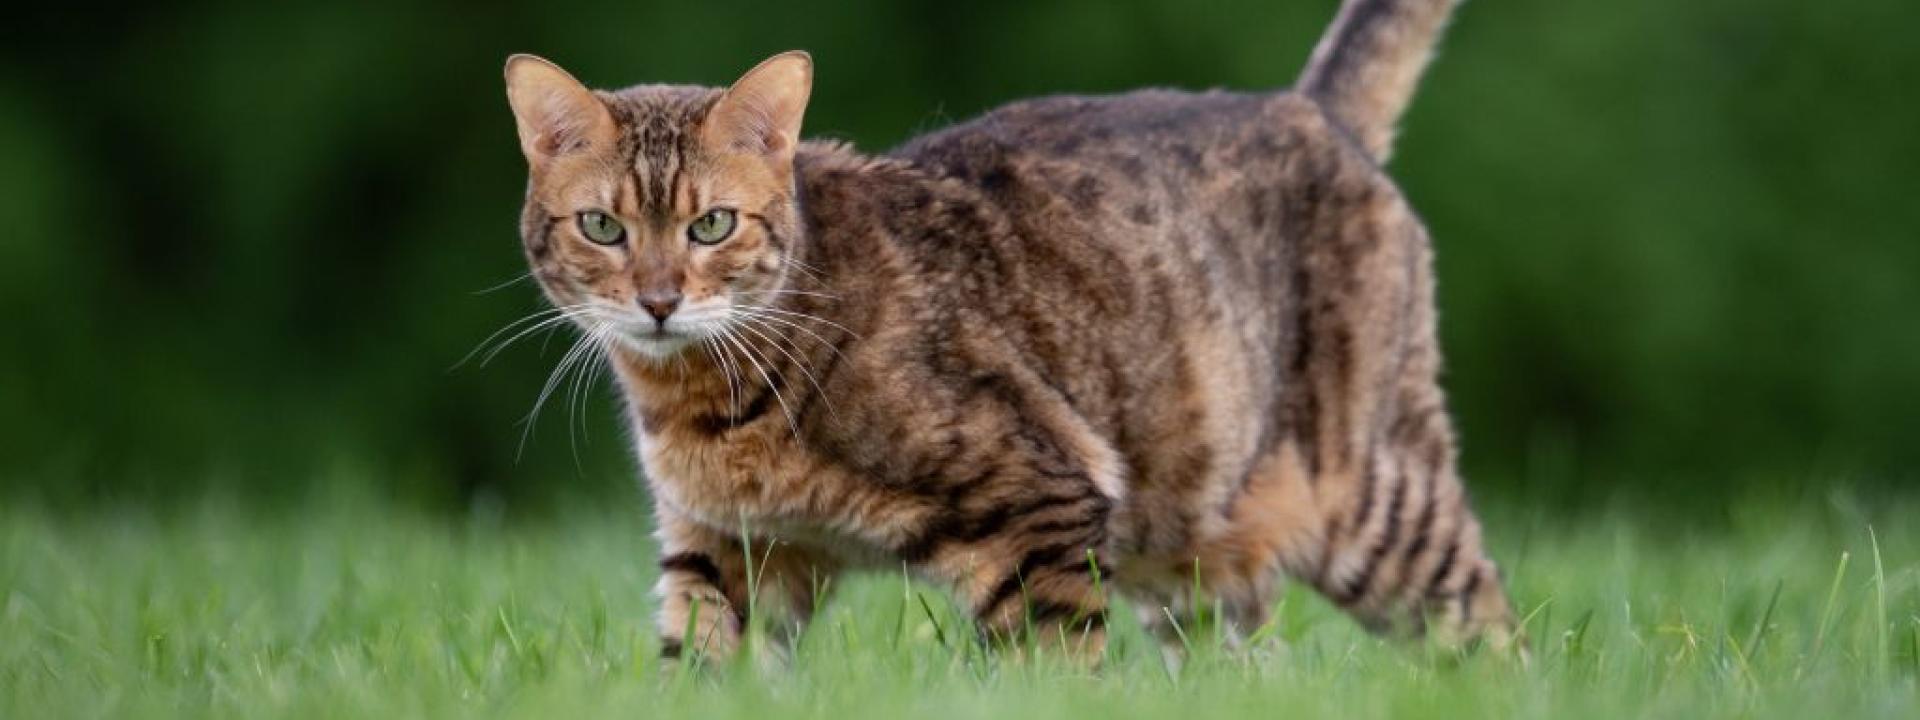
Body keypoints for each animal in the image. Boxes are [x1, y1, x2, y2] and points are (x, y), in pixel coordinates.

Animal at [506, 0, 1512, 664]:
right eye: (604, 227)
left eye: (711, 225)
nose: (658, 300)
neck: (702, 406)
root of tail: (1307, 108)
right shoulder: (721, 550)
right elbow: (699, 663)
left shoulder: (1041, 507)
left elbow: (1053, 666)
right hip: (1192, 549)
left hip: (1373, 498)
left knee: (1490, 624)